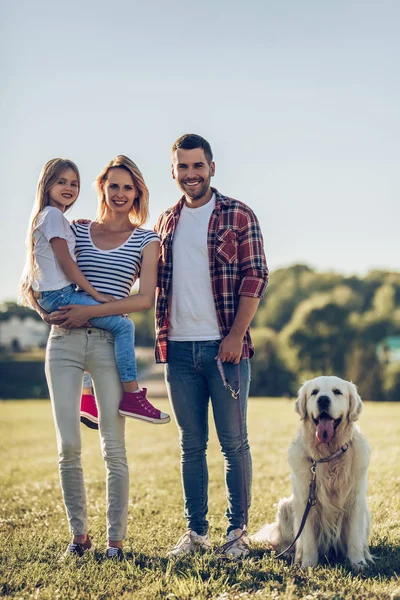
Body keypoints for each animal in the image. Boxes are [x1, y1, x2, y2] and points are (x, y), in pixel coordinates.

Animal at [253, 378, 372, 568]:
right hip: (286, 507)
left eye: (337, 392)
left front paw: (358, 563)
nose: (323, 400)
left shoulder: (355, 501)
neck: (328, 455)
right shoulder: (304, 501)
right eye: (314, 392)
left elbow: (354, 538)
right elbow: (308, 540)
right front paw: (308, 565)